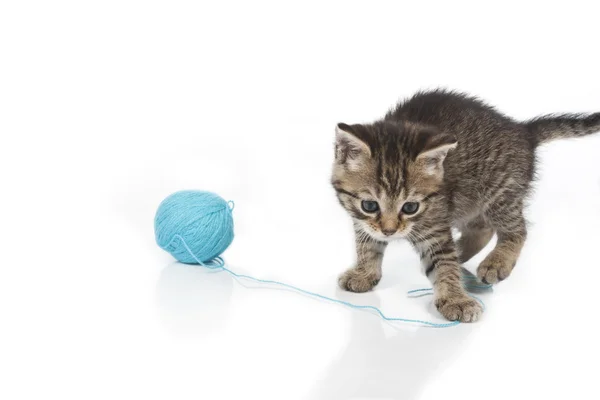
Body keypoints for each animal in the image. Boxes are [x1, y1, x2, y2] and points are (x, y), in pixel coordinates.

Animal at [332, 90, 600, 322]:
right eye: (370, 205)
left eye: (410, 208)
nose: (389, 231)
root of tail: (522, 131)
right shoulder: (362, 221)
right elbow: (367, 246)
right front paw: (365, 273)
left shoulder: (436, 225)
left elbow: (443, 262)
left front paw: (455, 299)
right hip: (466, 201)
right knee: (483, 228)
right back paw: (462, 251)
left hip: (499, 192)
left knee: (517, 229)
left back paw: (496, 262)